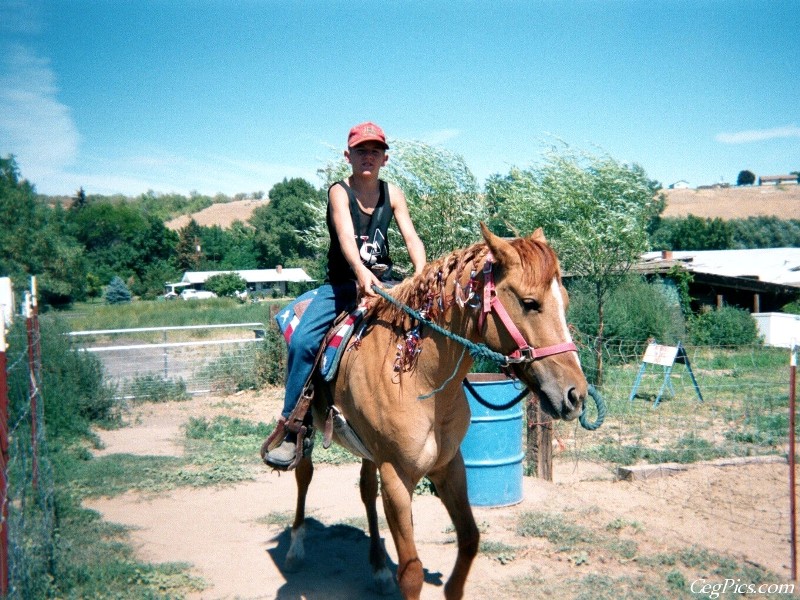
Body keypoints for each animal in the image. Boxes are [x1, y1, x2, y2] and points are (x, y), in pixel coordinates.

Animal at [278, 225, 584, 600]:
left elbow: (469, 539)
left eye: (564, 302)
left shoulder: (449, 466)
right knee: (303, 476)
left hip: (367, 450)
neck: (418, 380)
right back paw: (295, 549)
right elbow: (411, 572)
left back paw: (378, 568)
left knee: (365, 490)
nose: (576, 395)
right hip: (305, 430)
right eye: (530, 303)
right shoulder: (396, 477)